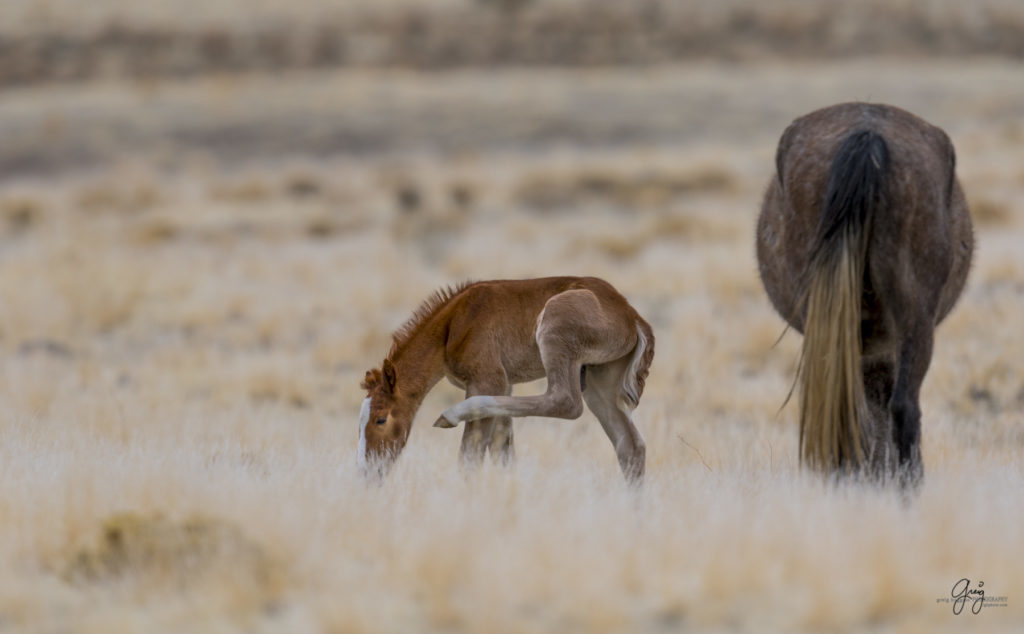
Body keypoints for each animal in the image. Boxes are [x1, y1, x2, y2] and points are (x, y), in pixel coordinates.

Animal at [356, 276, 651, 481]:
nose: (367, 471)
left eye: (381, 419)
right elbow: (503, 452)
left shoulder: (488, 381)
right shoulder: (505, 386)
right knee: (631, 445)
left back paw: (451, 414)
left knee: (566, 402)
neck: (453, 323)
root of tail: (633, 316)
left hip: (556, 329)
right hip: (601, 380)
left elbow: (471, 456)